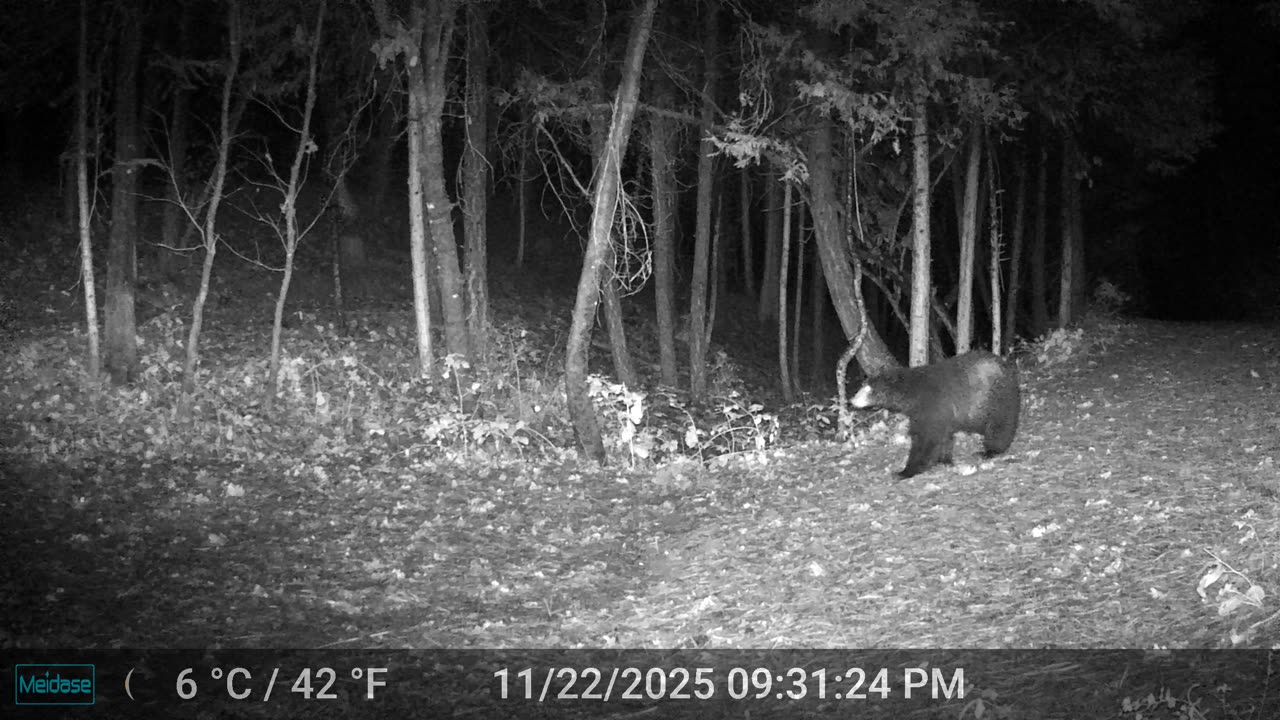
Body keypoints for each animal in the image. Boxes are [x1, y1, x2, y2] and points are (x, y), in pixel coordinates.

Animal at [849, 350, 1021, 478]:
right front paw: (945, 460)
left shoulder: (931, 407)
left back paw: (990, 450)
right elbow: (944, 437)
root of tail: (1007, 367)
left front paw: (905, 471)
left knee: (999, 427)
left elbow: (926, 439)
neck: (913, 396)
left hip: (998, 399)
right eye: (863, 385)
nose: (851, 400)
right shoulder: (939, 415)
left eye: (869, 390)